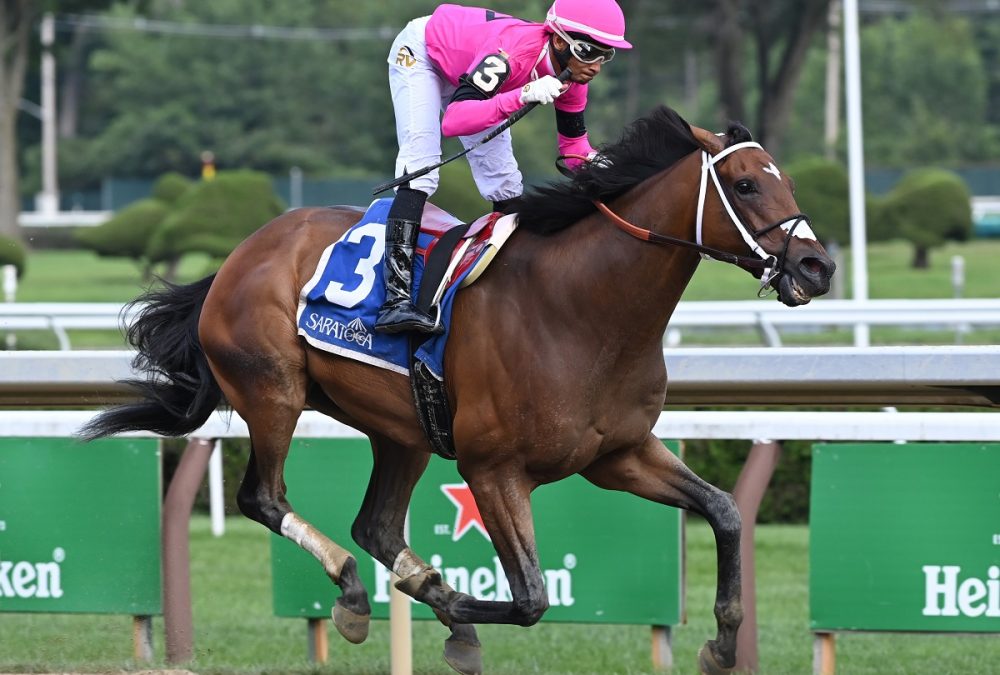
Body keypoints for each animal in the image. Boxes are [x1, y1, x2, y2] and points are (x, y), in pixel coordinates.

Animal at [84, 108, 836, 672]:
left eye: (784, 179)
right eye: (745, 184)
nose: (817, 266)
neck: (584, 309)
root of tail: (240, 254)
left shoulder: (618, 454)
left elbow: (726, 511)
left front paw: (723, 642)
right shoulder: (492, 467)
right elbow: (531, 598)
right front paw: (444, 608)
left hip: (401, 428)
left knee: (375, 523)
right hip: (273, 393)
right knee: (264, 498)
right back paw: (357, 592)